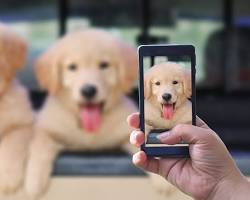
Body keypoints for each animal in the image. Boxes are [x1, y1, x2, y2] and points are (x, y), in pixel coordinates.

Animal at [25, 28, 138, 198]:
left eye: (104, 65)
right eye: (72, 67)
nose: (88, 90)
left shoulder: (126, 129)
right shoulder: (46, 127)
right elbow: (40, 148)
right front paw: (33, 184)